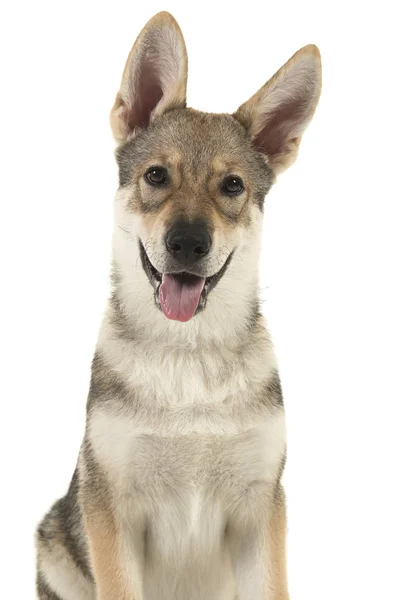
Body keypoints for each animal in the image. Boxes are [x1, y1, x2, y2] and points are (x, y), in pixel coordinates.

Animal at [34, 10, 322, 600]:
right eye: (156, 176)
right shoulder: (112, 510)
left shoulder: (261, 507)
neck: (187, 359)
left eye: (232, 185)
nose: (188, 243)